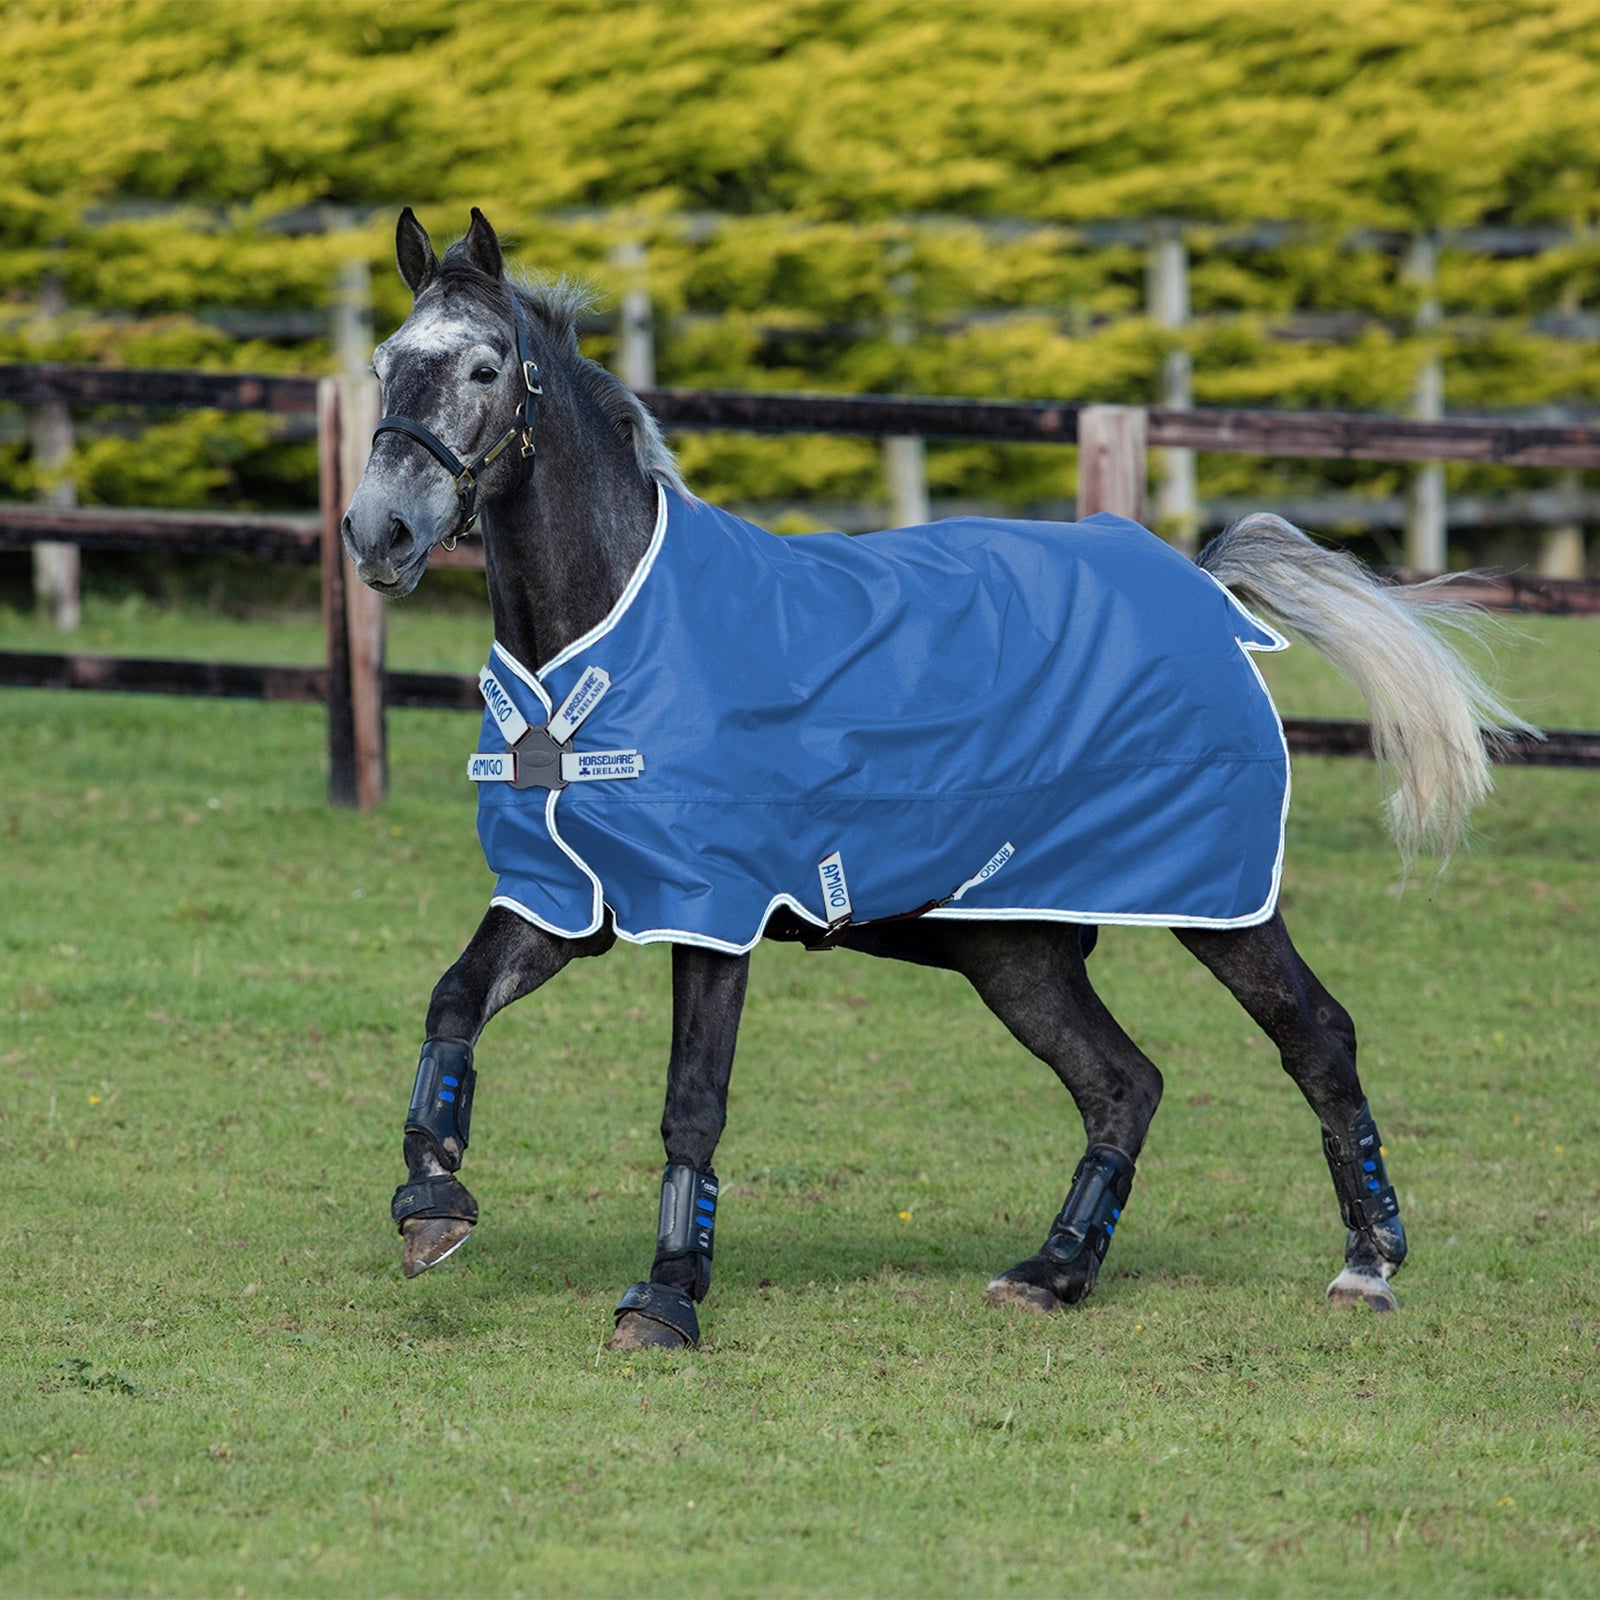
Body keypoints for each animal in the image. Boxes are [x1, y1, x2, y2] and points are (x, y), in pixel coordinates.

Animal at [342, 208, 1529, 1352]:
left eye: (485, 367)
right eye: (384, 363)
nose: (376, 530)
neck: (613, 641)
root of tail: (1198, 581)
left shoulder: (711, 911)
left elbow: (693, 1101)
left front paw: (667, 1296)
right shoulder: (563, 897)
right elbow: (454, 997)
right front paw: (431, 1203)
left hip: (1216, 899)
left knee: (1316, 1037)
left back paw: (1366, 1265)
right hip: (1014, 946)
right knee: (1123, 1083)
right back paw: (1054, 1272)